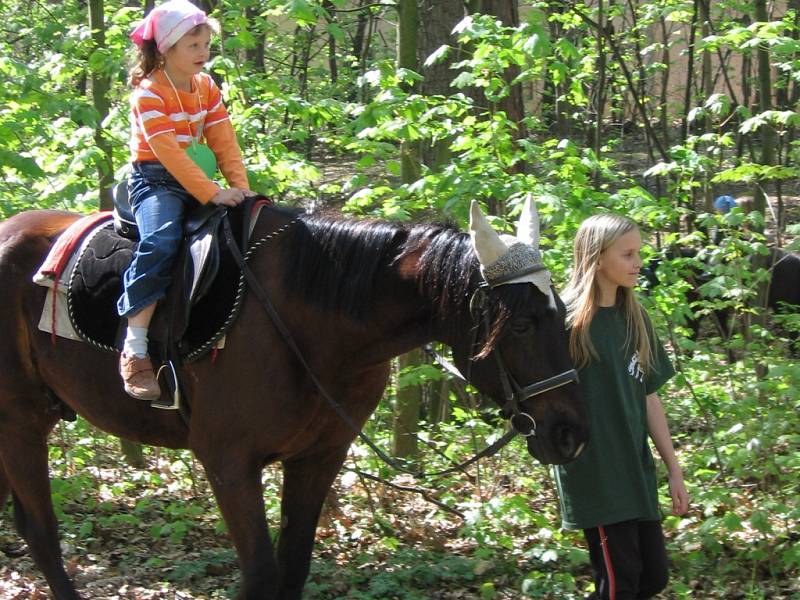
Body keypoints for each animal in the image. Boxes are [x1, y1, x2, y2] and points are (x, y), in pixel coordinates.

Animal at [0, 199, 588, 596]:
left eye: (561, 314)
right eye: (522, 325)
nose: (570, 433)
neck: (311, 323)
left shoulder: (318, 457)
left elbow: (293, 568)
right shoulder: (229, 463)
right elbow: (262, 576)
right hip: (20, 422)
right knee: (42, 532)